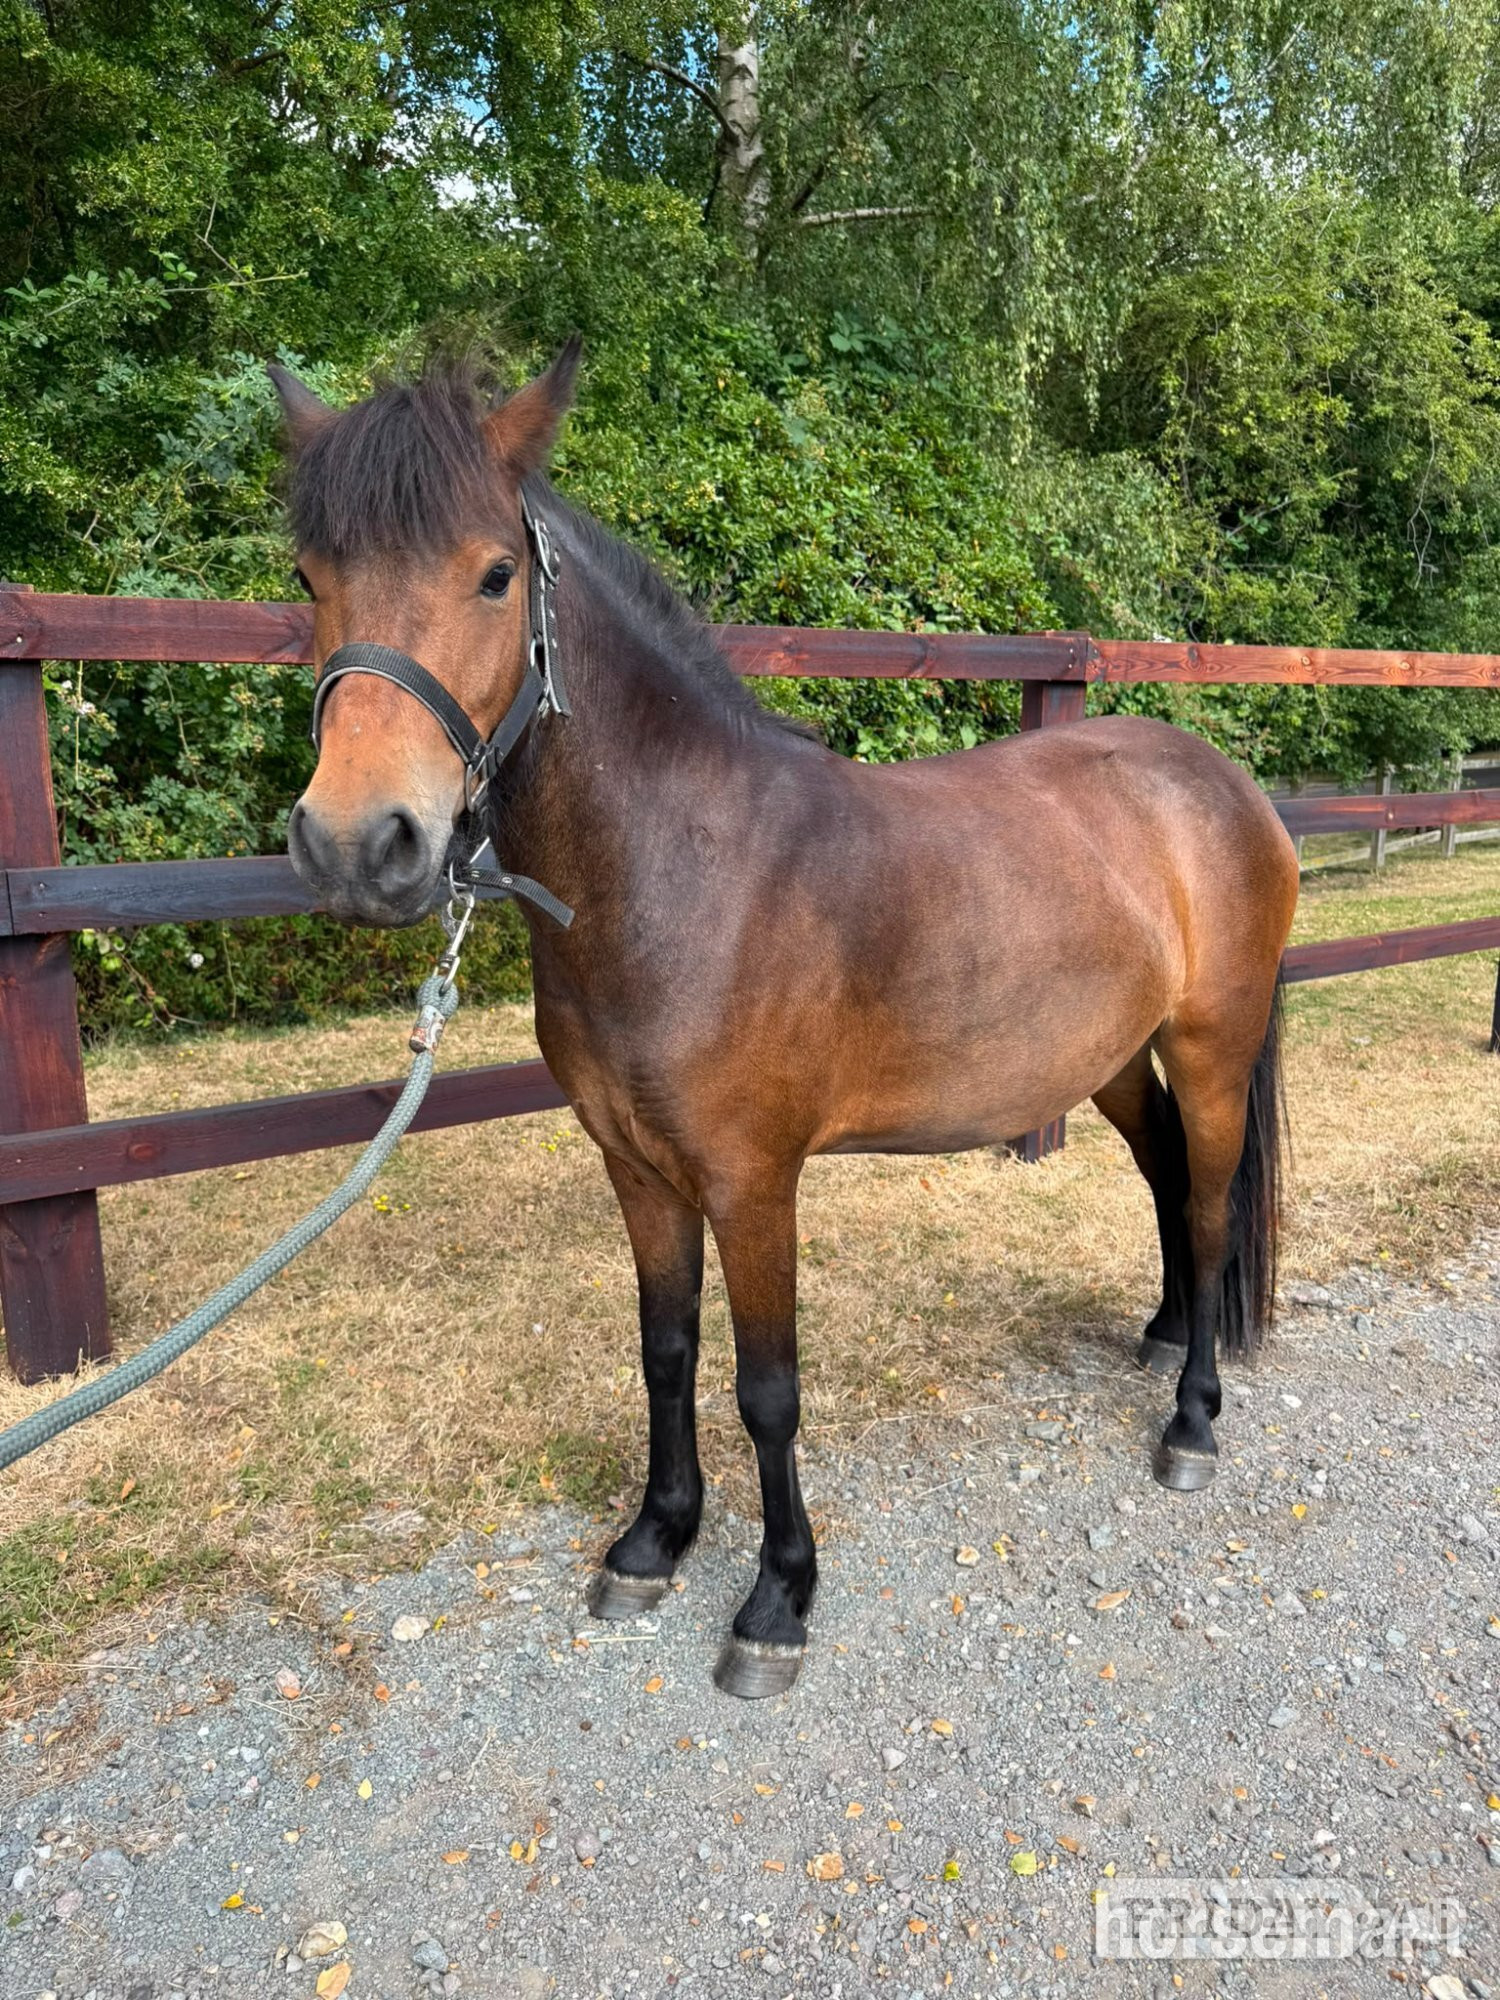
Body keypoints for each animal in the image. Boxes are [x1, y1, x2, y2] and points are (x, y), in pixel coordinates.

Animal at [275, 344, 1299, 1699]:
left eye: (494, 573)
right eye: (309, 577)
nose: (359, 844)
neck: (688, 869)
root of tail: (1221, 782)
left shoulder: (753, 1180)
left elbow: (767, 1384)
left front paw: (777, 1597)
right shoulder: (638, 1167)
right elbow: (665, 1348)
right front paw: (652, 1539)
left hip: (1211, 1045)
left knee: (1212, 1199)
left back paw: (1190, 1417)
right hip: (1112, 1059)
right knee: (1169, 1176)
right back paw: (1166, 1332)